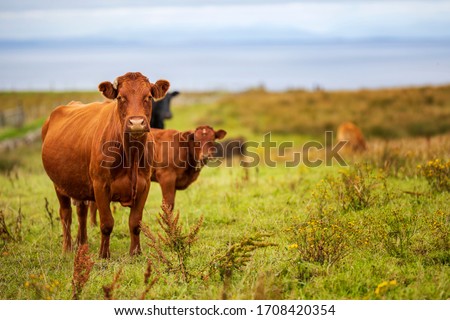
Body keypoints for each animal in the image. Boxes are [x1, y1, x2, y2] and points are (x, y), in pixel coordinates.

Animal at [40, 72, 170, 258]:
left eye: (149, 97)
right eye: (121, 98)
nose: (136, 123)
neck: (131, 154)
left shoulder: (144, 185)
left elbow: (135, 222)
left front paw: (135, 252)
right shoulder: (100, 185)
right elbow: (107, 223)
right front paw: (104, 255)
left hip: (79, 184)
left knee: (81, 211)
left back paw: (82, 244)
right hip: (59, 184)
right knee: (66, 214)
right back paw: (67, 249)